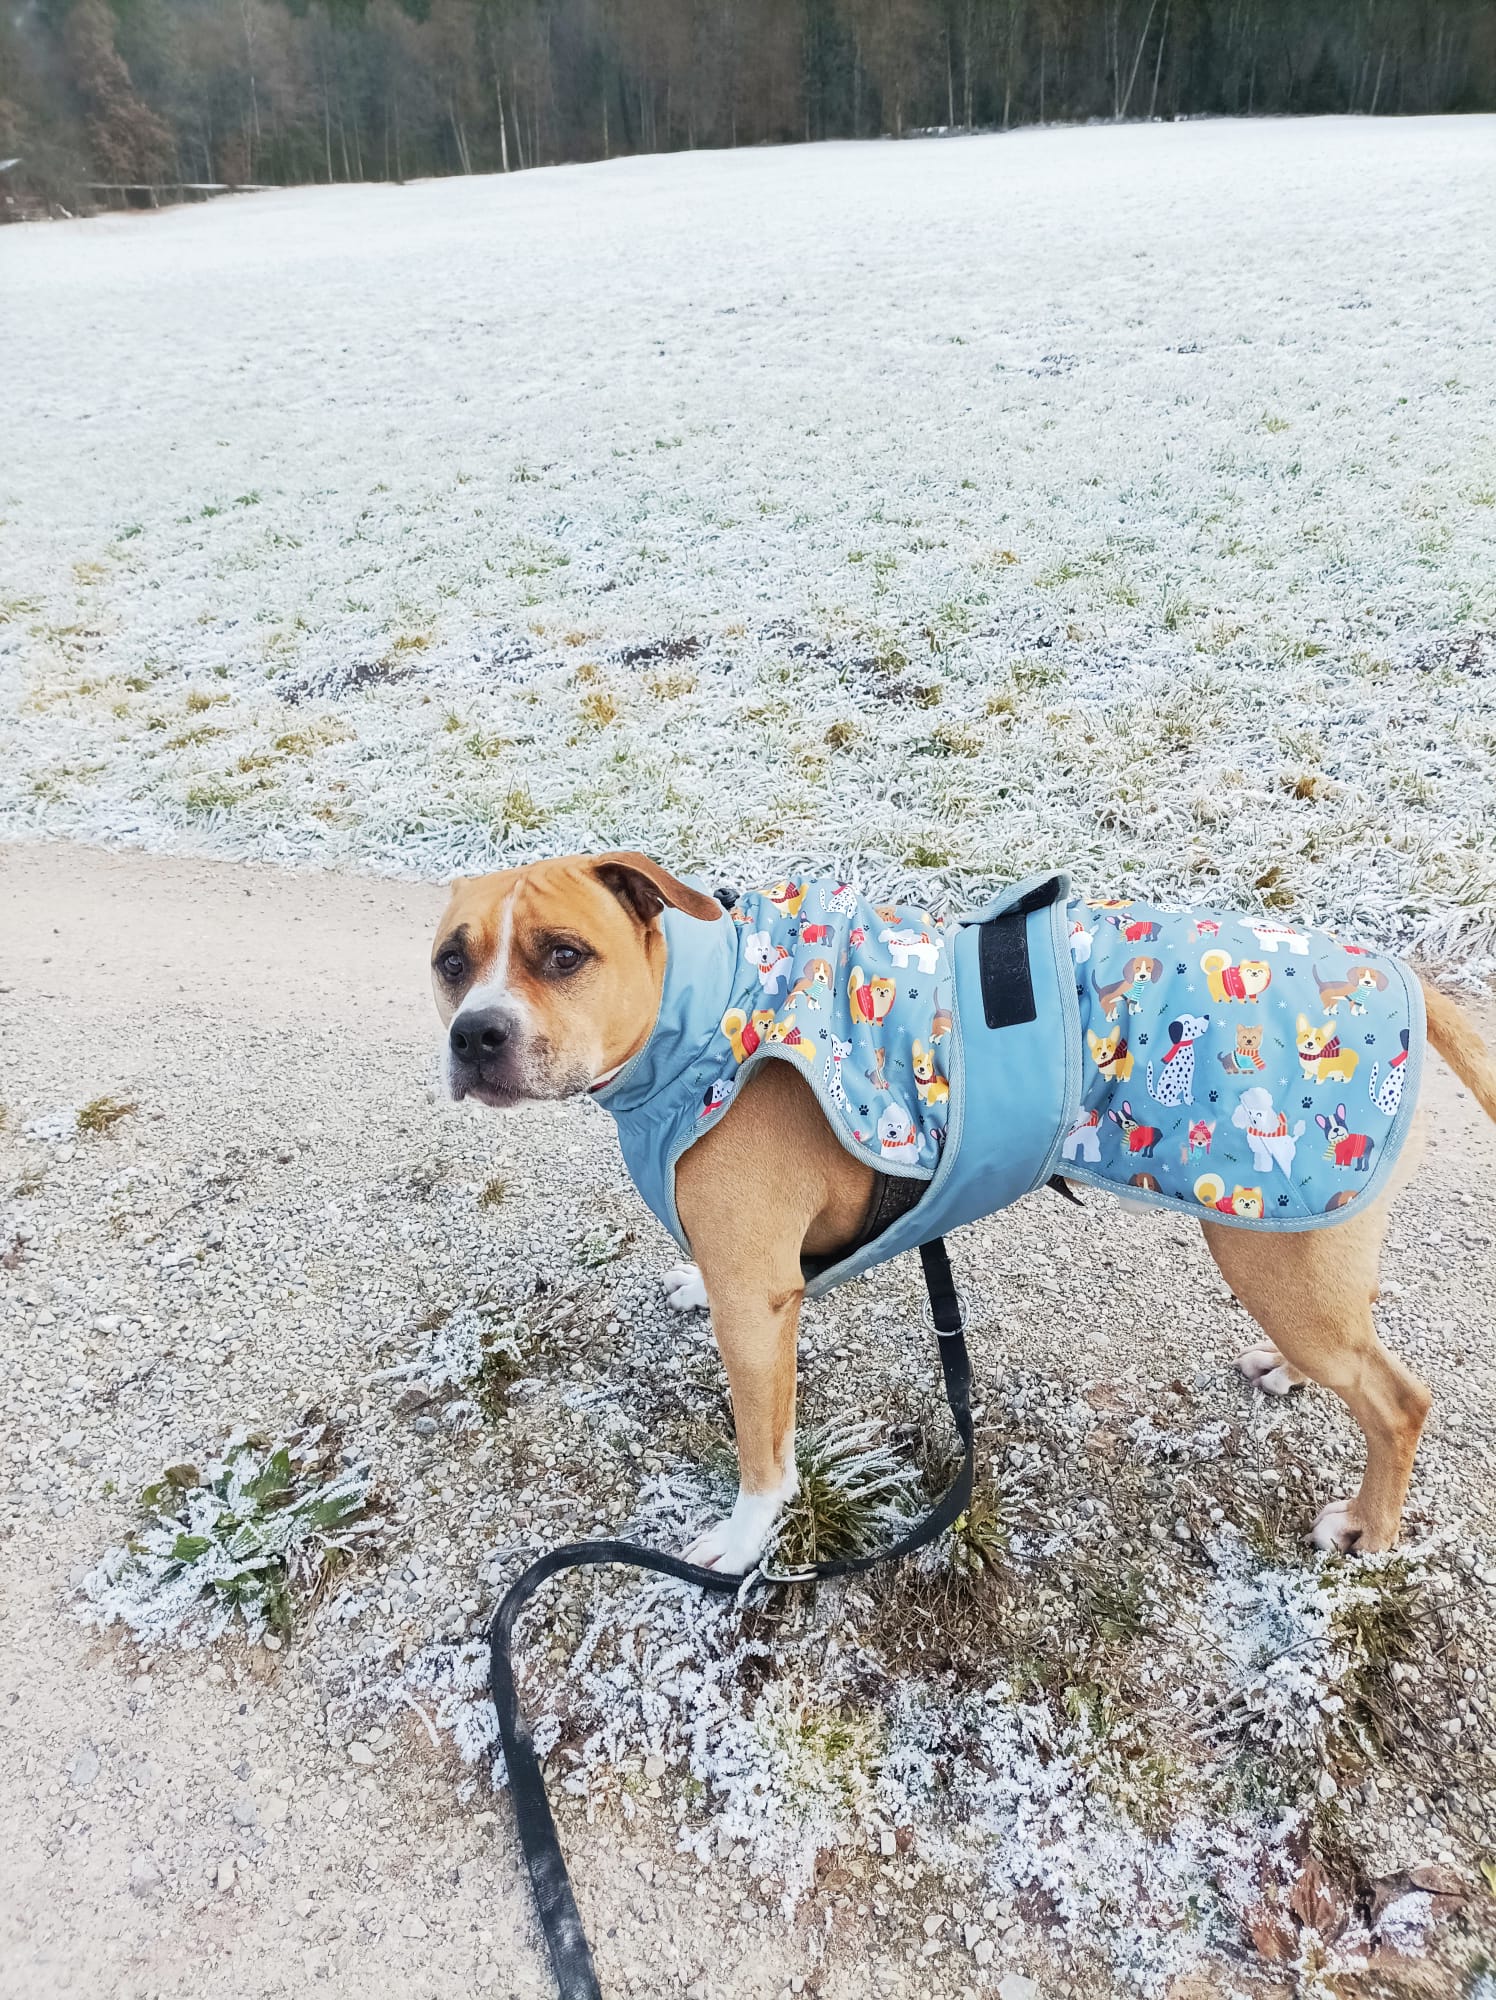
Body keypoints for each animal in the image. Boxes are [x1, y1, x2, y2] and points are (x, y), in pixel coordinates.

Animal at [431, 852, 1496, 1571]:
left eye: (564, 955)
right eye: (450, 962)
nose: (475, 1034)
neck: (702, 1007)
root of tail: (1407, 977)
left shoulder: (759, 1311)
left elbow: (764, 1452)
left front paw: (743, 1540)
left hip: (1274, 1251)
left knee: (1398, 1402)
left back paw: (1370, 1528)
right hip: (1299, 1249)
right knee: (1354, 1335)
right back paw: (1290, 1371)